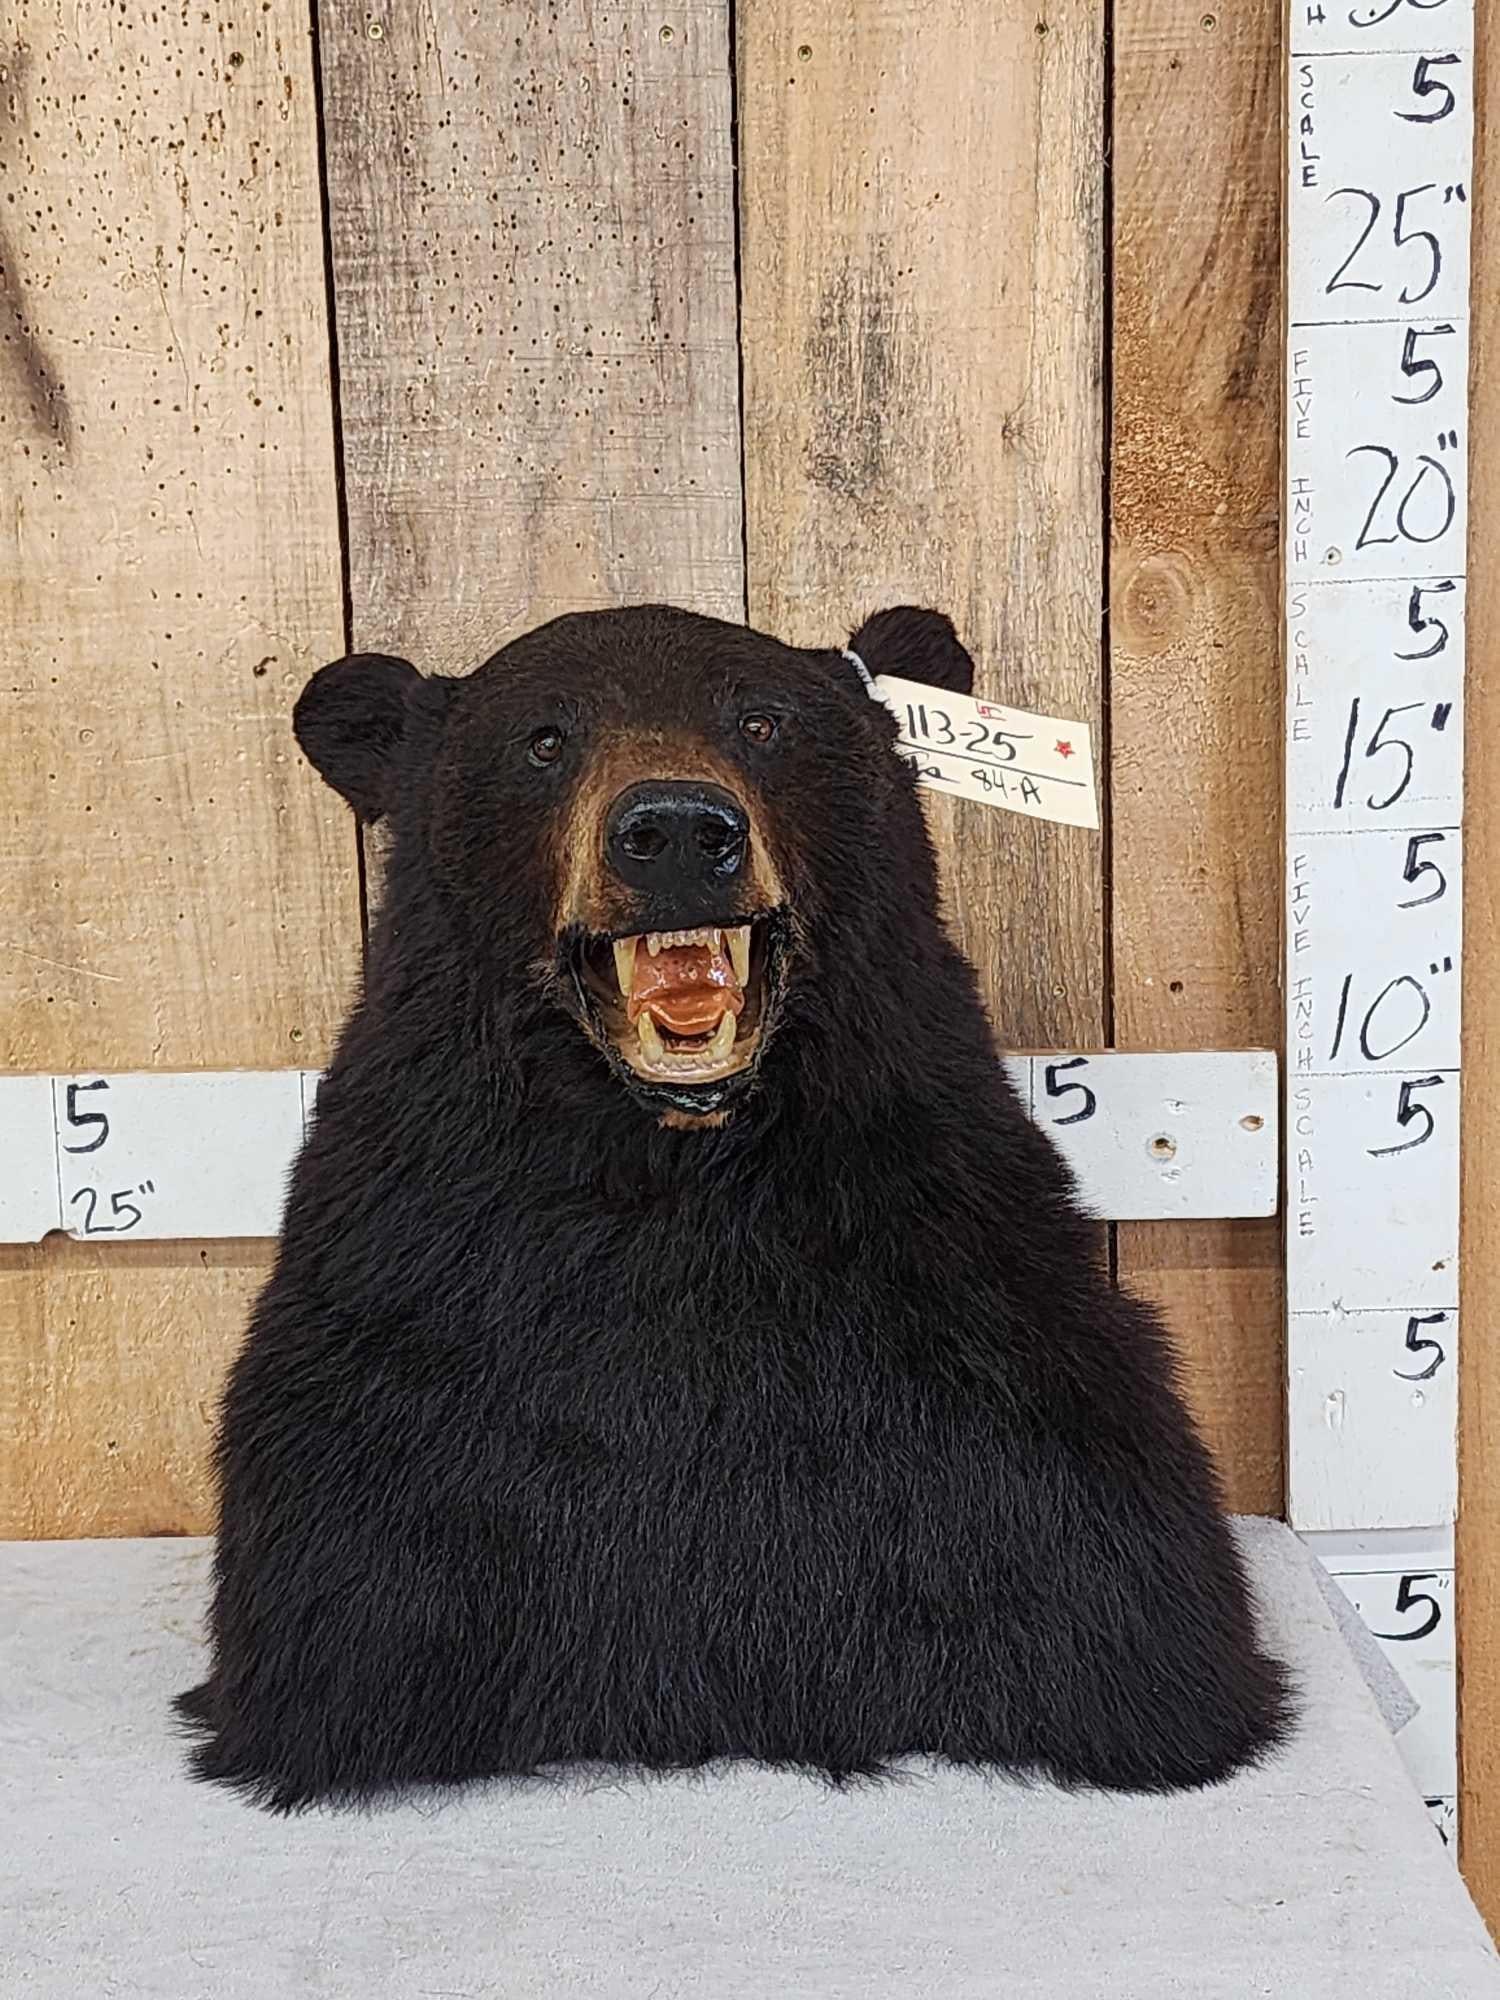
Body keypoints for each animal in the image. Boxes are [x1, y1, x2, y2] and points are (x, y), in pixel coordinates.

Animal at [176, 601, 1291, 1812]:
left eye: (761, 721)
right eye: (544, 738)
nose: (673, 830)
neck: (681, 1169)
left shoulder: (969, 1299)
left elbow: (1111, 1580)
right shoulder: (409, 1295)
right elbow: (355, 1584)